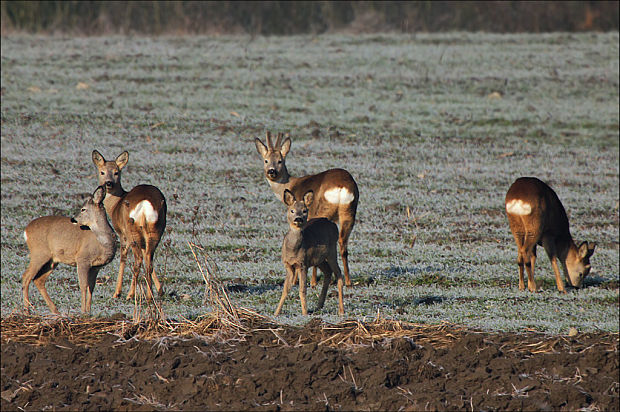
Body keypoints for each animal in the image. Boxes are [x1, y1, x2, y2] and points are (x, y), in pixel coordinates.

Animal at [21, 185, 116, 314]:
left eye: (83, 209)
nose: (73, 219)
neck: (102, 242)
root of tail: (26, 230)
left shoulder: (96, 267)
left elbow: (91, 287)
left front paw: (89, 311)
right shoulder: (82, 259)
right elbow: (83, 286)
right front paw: (83, 312)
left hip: (52, 260)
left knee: (38, 280)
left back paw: (55, 311)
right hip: (39, 253)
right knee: (26, 277)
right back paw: (27, 310)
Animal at [90, 150, 166, 300]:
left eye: (116, 172)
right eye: (102, 172)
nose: (108, 183)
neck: (115, 205)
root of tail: (145, 204)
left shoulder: (122, 234)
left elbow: (122, 258)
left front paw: (117, 292)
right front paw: (160, 290)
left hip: (132, 232)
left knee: (138, 260)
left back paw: (130, 294)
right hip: (155, 230)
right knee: (148, 259)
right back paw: (149, 296)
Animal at [253, 132, 358, 286]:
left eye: (280, 161)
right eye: (266, 160)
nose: (272, 171)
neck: (290, 185)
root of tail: (341, 187)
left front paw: (295, 280)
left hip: (322, 212)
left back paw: (313, 282)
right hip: (349, 212)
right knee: (343, 243)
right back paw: (348, 281)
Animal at [274, 188, 346, 318]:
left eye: (304, 210)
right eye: (292, 210)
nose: (298, 219)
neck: (293, 251)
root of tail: (332, 223)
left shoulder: (303, 264)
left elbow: (302, 290)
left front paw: (304, 314)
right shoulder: (288, 265)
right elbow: (285, 289)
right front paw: (276, 313)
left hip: (332, 251)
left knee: (338, 274)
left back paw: (341, 310)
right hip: (319, 259)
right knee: (328, 272)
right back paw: (319, 305)